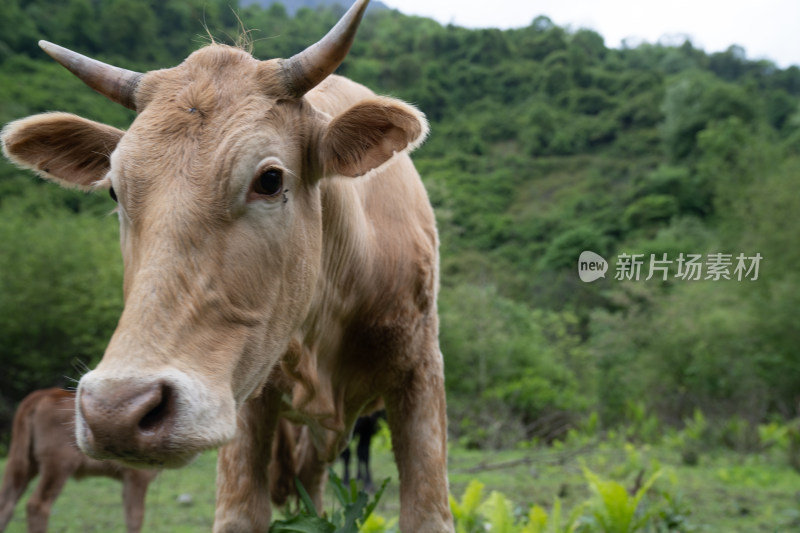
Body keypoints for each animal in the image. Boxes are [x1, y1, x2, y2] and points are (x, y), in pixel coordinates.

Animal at [0, 386, 157, 532]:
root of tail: (45, 392)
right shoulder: (137, 476)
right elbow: (135, 518)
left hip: (22, 461)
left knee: (6, 502)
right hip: (58, 463)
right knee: (37, 505)